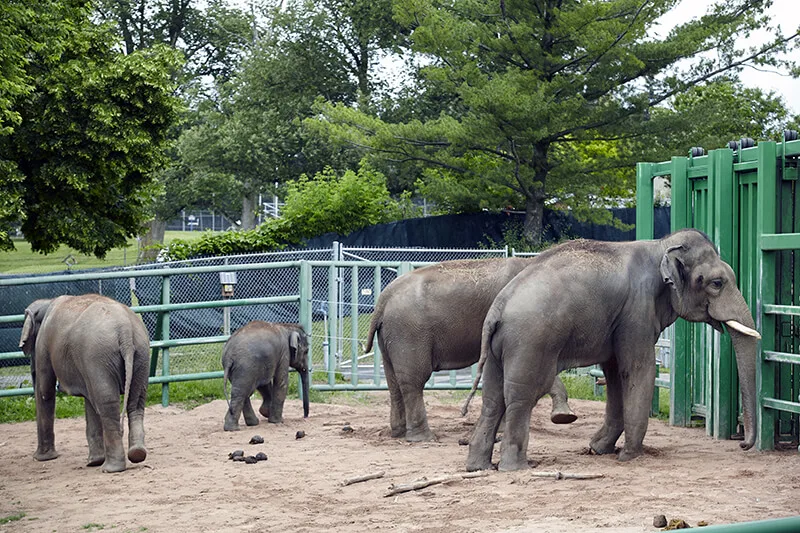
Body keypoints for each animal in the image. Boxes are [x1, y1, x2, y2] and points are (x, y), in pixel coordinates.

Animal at [18, 294, 149, 472]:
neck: (48, 302)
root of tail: (125, 331)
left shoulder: (44, 342)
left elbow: (45, 390)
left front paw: (42, 458)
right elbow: (89, 401)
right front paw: (94, 462)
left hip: (98, 356)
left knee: (107, 403)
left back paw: (111, 468)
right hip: (141, 353)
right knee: (134, 402)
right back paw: (137, 454)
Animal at [362, 256, 576, 440]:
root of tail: (383, 300)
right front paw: (564, 417)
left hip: (392, 335)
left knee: (393, 381)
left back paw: (398, 433)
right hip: (409, 332)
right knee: (414, 380)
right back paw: (424, 438)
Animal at [462, 229, 764, 470]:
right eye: (717, 283)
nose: (742, 445)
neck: (661, 245)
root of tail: (497, 309)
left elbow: (615, 373)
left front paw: (598, 448)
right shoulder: (637, 311)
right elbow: (638, 369)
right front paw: (630, 456)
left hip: (499, 348)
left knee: (493, 398)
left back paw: (478, 467)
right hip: (531, 342)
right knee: (521, 397)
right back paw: (517, 467)